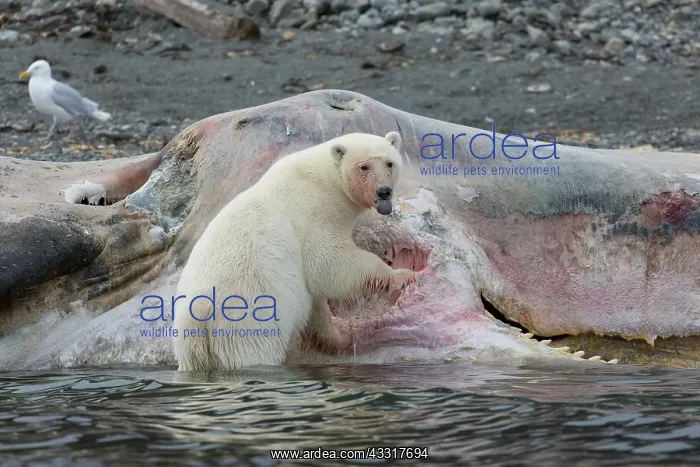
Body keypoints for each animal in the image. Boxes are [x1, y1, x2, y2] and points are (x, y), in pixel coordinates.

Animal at [171, 131, 417, 371]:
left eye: (389, 162)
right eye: (363, 166)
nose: (383, 191)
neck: (325, 179)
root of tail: (199, 319)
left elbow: (315, 302)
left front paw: (341, 334)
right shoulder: (317, 213)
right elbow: (328, 263)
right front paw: (401, 275)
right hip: (245, 321)